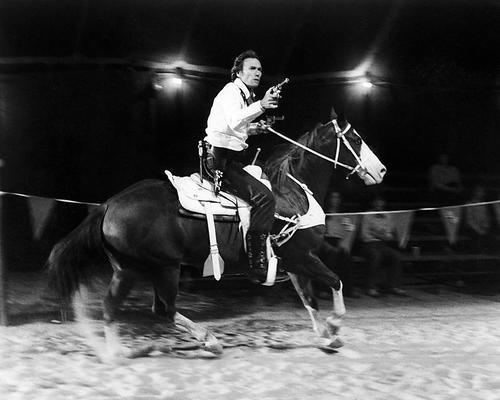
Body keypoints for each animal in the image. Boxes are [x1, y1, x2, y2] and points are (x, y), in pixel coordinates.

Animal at [47, 111, 386, 360]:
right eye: (356, 138)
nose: (381, 170)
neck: (294, 191)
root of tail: (108, 205)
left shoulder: (294, 264)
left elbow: (310, 301)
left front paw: (327, 338)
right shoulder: (303, 257)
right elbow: (336, 282)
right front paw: (335, 327)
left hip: (134, 268)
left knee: (134, 309)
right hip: (155, 268)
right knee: (156, 309)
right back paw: (200, 342)